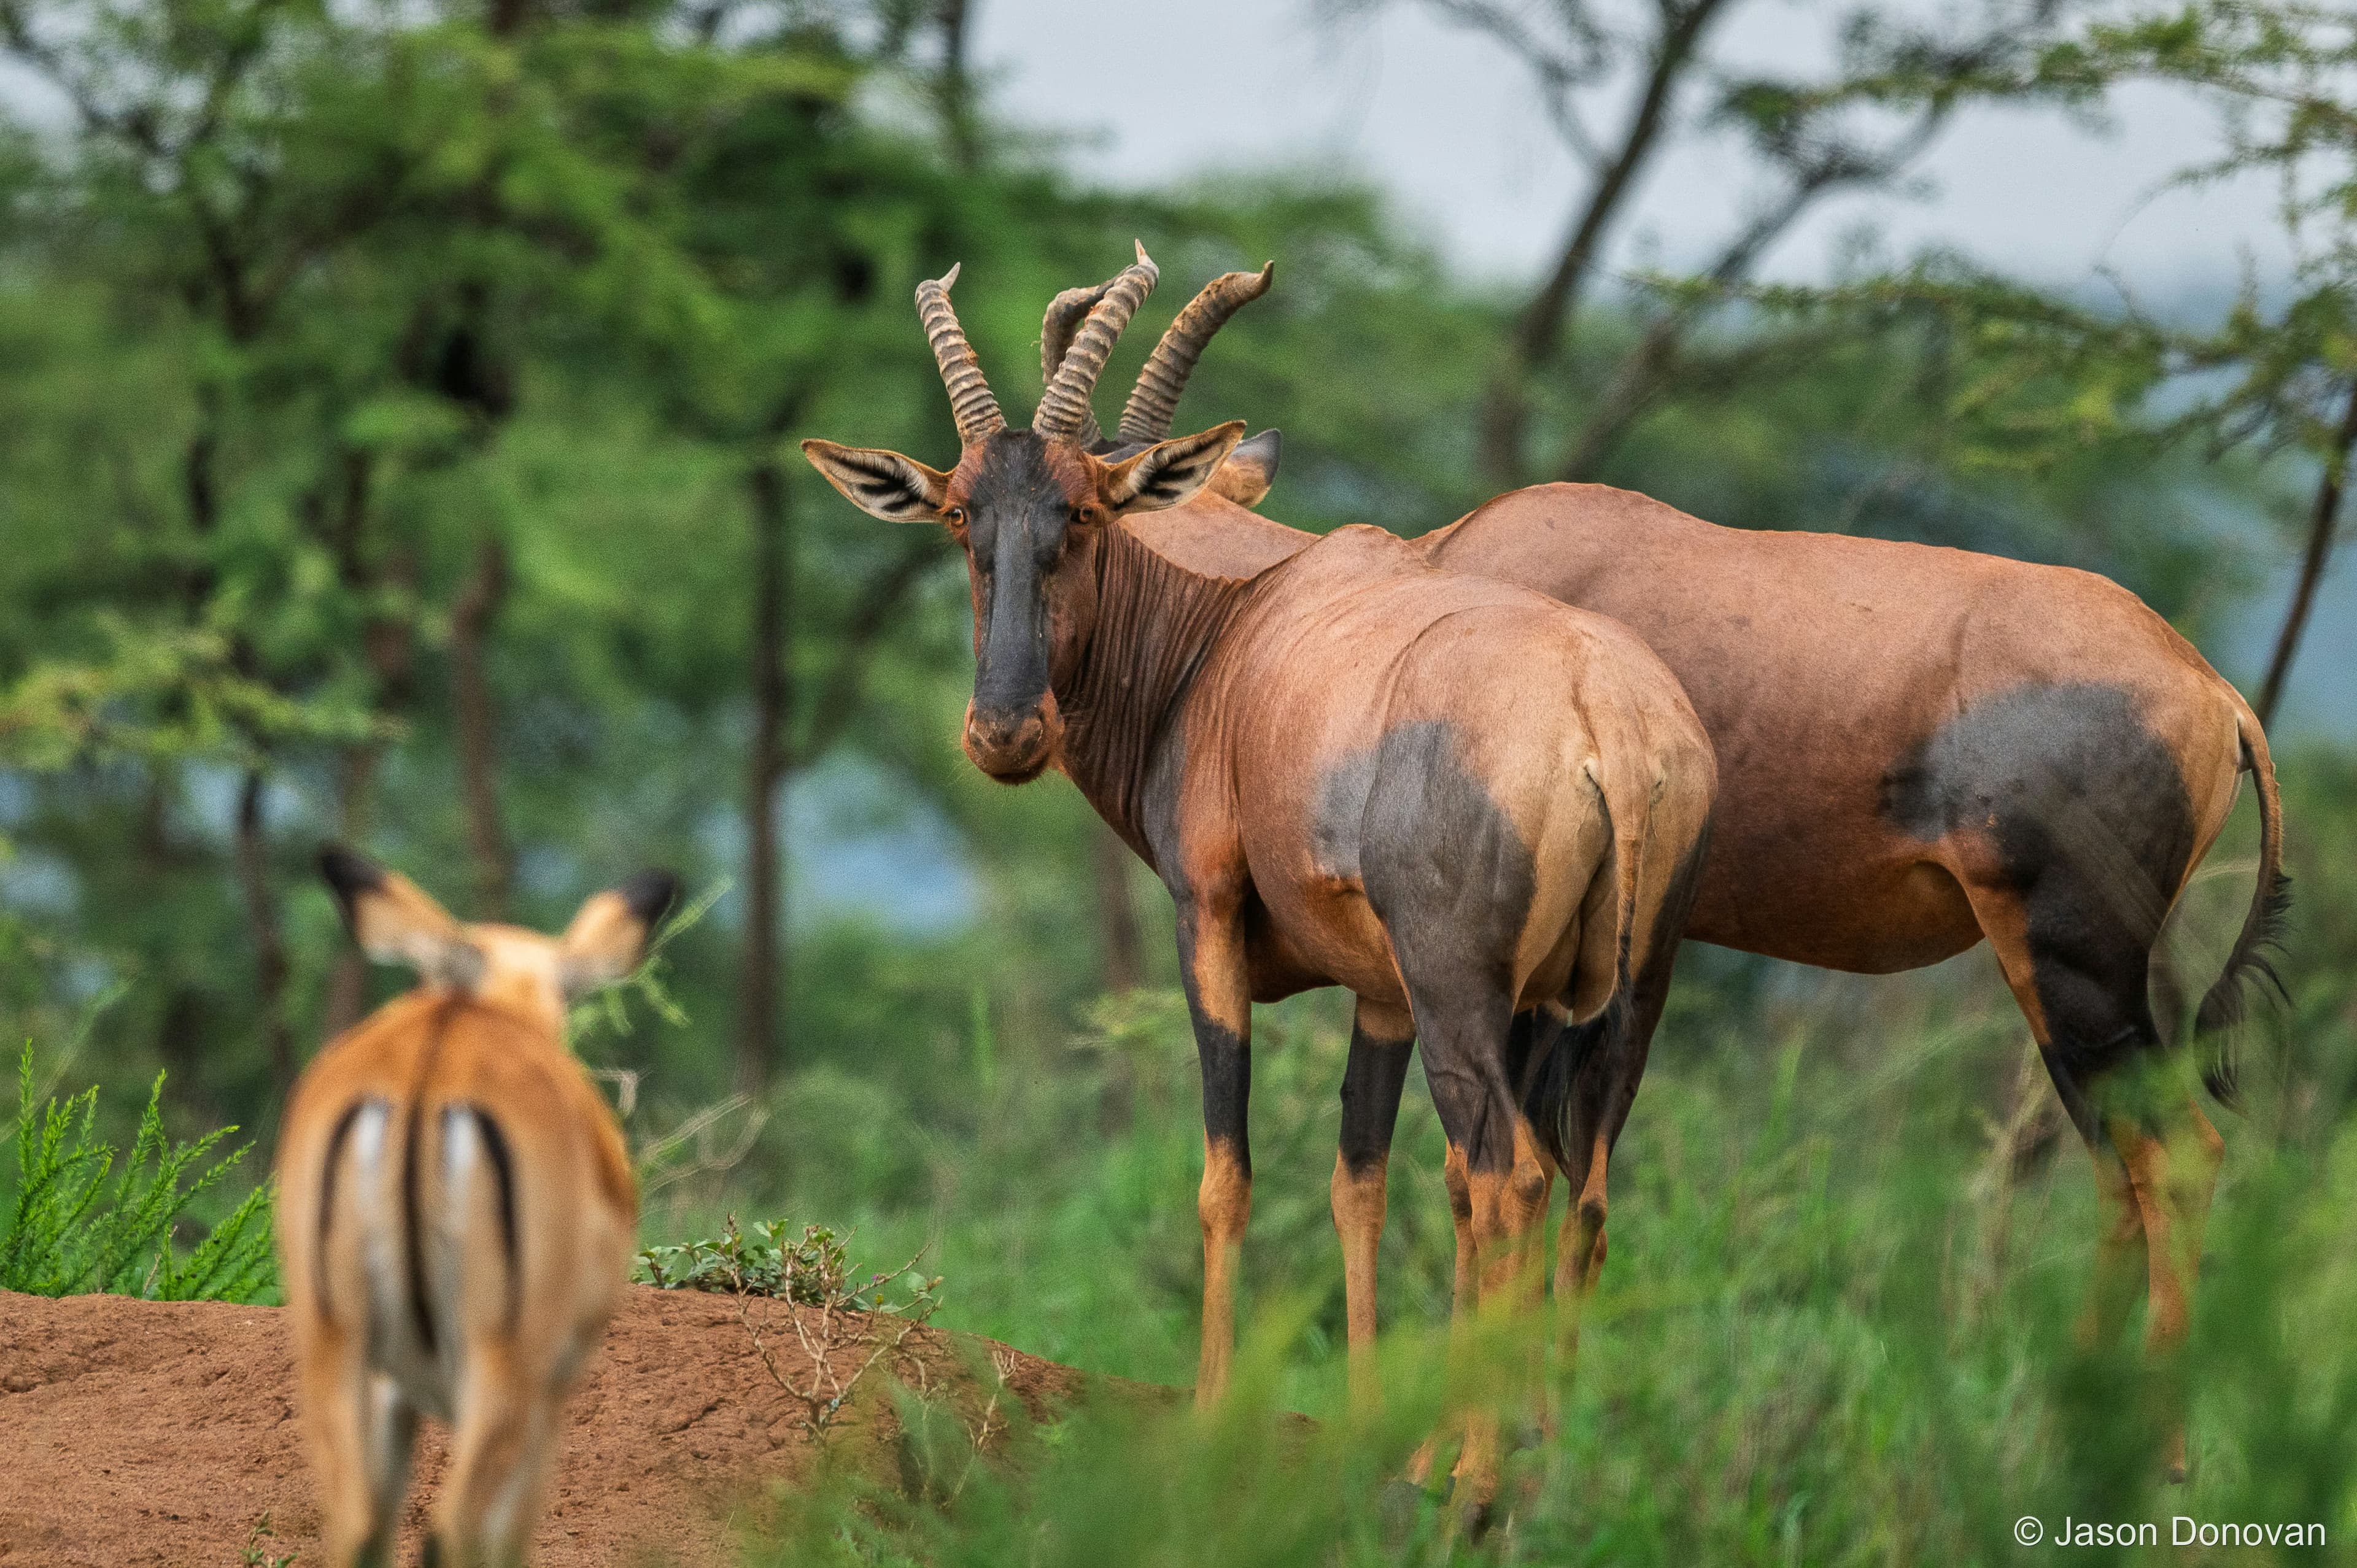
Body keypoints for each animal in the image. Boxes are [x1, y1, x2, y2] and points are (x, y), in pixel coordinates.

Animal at [276, 847, 677, 1568]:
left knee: (356, 1531)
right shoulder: (551, 1388)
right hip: (502, 1365)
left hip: (336, 1342)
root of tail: (434, 1053)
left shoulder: (394, 1393)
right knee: (453, 1534)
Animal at [802, 250, 1718, 1503]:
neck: (1235, 626)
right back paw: (1544, 1457)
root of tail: (1606, 717)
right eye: (958, 513)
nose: (1004, 734)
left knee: (1508, 1179)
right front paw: (1381, 1431)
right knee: (1578, 1195)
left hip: (1466, 993)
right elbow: (1359, 1176)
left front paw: (1211, 1417)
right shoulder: (1380, 994)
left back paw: (1481, 1486)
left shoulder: (1213, 918)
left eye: (1084, 508)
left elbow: (1225, 1171)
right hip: (1615, 999)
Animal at [1062, 256, 2286, 1478]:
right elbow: (1551, 1176)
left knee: (2179, 1154)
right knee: (2121, 1168)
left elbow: (1475, 1176)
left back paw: (2161, 1457)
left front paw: (1453, 1451)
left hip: (2070, 961)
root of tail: (2211, 688)